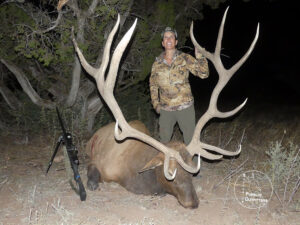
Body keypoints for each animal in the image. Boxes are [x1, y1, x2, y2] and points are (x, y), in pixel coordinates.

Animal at [72, 6, 258, 208]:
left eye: (191, 173)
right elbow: (91, 180)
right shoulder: (96, 162)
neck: (129, 174)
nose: (193, 202)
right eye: (171, 175)